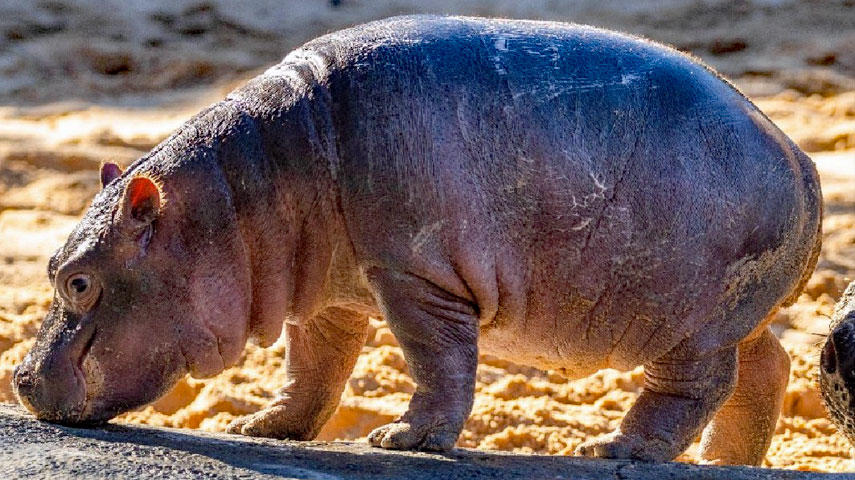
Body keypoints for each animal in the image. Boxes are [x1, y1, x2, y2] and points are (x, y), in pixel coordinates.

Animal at [11, 15, 824, 464]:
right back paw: (730, 462)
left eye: (78, 279)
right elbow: (314, 364)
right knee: (768, 366)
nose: (17, 378)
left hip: (689, 323)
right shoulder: (326, 288)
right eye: (49, 266)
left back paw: (614, 449)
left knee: (692, 387)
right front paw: (263, 426)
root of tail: (804, 160)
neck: (238, 193)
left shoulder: (414, 273)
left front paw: (400, 440)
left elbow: (436, 359)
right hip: (735, 318)